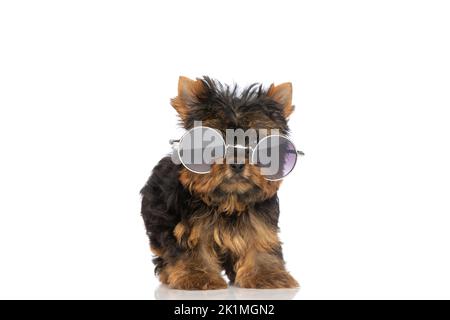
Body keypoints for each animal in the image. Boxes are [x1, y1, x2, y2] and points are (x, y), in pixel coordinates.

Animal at [142, 75, 300, 290]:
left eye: (255, 141)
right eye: (213, 141)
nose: (237, 163)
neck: (230, 200)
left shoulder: (260, 220)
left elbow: (261, 240)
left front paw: (266, 275)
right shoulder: (189, 223)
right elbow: (192, 245)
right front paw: (198, 276)